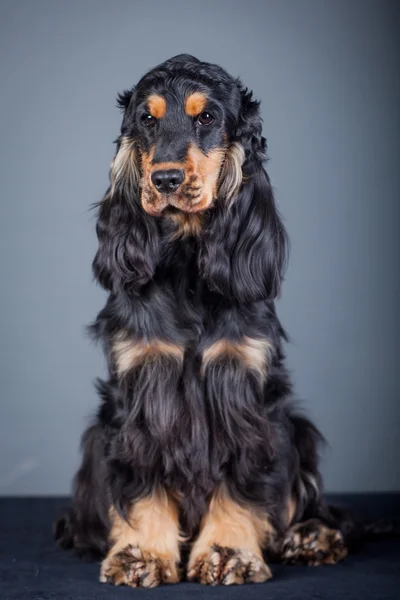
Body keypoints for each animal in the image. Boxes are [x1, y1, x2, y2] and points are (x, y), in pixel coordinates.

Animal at [56, 54, 368, 588]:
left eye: (206, 118)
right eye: (147, 119)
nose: (164, 180)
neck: (187, 263)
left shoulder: (242, 388)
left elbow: (242, 481)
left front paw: (227, 552)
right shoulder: (140, 390)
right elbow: (141, 480)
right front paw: (142, 553)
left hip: (298, 429)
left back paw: (310, 536)